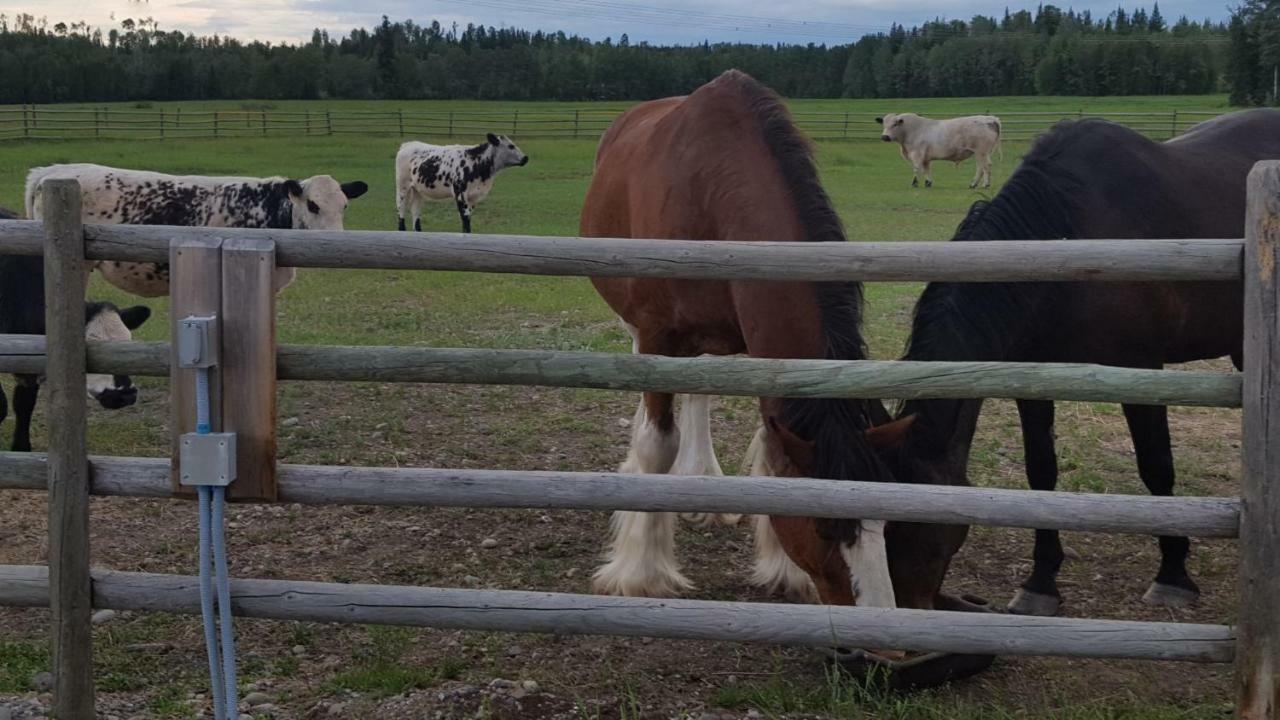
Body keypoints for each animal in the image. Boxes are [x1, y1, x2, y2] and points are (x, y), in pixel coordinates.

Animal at [0, 204, 152, 448]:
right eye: (92, 345)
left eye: (127, 343)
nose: (126, 394)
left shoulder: (28, 365)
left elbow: (23, 404)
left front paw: (21, 447)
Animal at [391, 134, 527, 233]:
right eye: (510, 146)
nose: (526, 158)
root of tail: (408, 144)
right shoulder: (460, 194)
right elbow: (465, 220)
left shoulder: (473, 197)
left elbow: (468, 219)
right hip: (402, 187)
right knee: (401, 211)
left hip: (418, 190)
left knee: (416, 212)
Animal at [576, 70, 916, 604]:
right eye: (823, 528)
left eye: (886, 525)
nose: (881, 616)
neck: (710, 191)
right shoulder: (656, 334)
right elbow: (657, 443)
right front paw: (642, 573)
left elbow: (769, 443)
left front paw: (784, 569)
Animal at [885, 109, 1280, 614]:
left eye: (921, 529)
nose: (901, 607)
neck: (1070, 232)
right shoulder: (1031, 380)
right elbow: (1041, 473)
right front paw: (1040, 582)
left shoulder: (1142, 371)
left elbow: (1156, 467)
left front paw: (1173, 574)